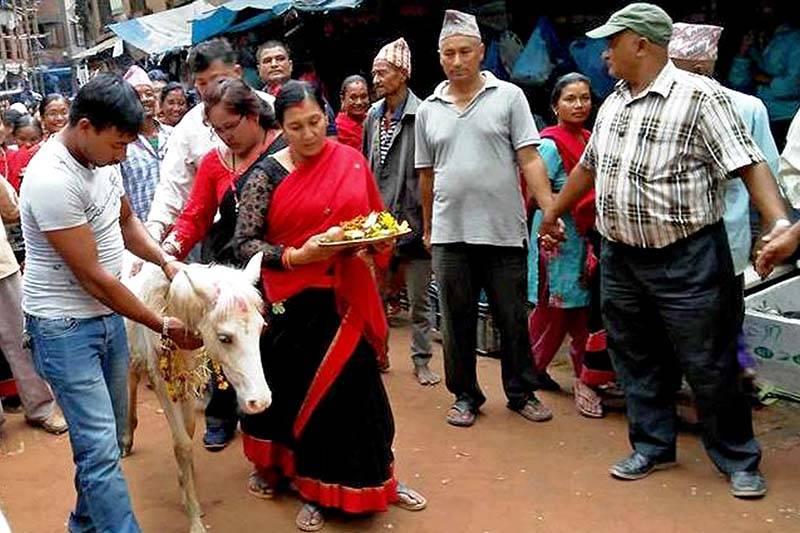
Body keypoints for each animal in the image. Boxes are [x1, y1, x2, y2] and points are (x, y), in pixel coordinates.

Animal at [122, 252, 270, 532]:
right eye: (224, 338)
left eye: (261, 328)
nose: (261, 401)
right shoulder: (160, 380)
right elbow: (181, 443)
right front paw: (193, 517)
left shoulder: (188, 376)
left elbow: (189, 430)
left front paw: (186, 483)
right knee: (132, 378)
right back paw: (126, 438)